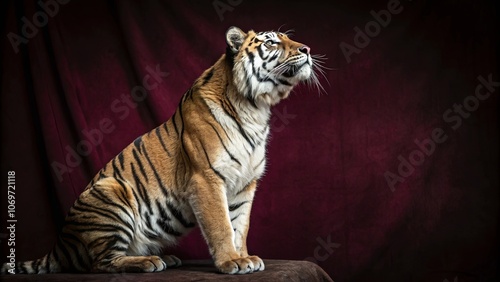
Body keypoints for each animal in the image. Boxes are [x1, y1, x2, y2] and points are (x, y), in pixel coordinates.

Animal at [0, 25, 324, 274]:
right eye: (272, 42)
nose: (308, 49)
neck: (255, 108)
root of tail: (60, 244)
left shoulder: (246, 184)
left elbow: (239, 226)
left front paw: (243, 256)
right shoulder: (207, 178)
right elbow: (221, 225)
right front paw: (231, 262)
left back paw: (164, 257)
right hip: (111, 192)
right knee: (101, 263)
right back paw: (147, 262)